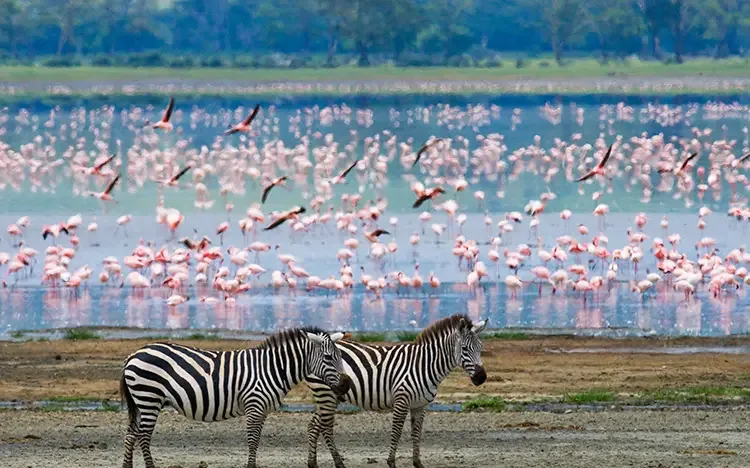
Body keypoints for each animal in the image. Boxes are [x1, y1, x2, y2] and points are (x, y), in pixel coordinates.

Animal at [120, 327, 351, 468]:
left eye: (341, 357)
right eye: (328, 357)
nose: (346, 385)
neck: (271, 368)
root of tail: (134, 354)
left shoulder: (263, 410)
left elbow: (256, 440)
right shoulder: (254, 406)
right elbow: (252, 440)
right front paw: (251, 466)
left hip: (142, 402)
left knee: (131, 435)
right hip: (149, 398)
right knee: (143, 436)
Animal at [305, 314, 488, 468]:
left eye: (480, 347)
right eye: (464, 349)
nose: (482, 378)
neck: (424, 364)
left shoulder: (420, 406)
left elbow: (417, 433)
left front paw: (417, 463)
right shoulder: (402, 400)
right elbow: (397, 432)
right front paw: (391, 462)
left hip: (330, 396)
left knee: (313, 426)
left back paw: (312, 463)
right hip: (326, 394)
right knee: (325, 428)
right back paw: (338, 463)